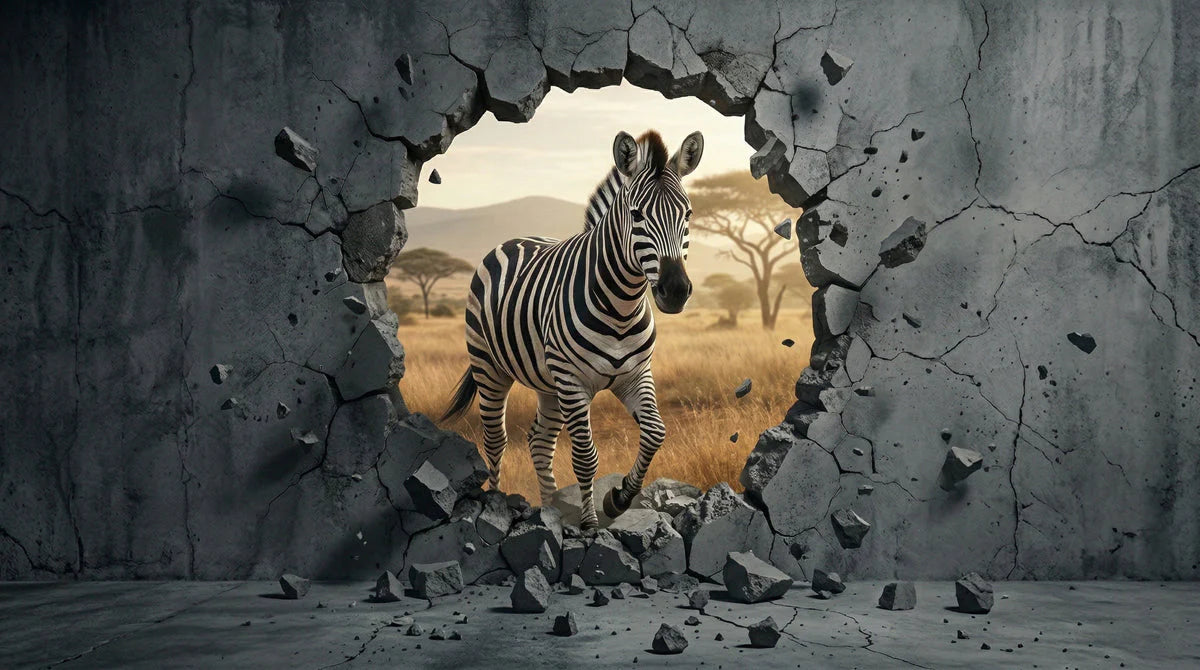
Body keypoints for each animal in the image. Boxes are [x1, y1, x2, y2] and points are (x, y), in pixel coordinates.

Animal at [441, 129, 704, 530]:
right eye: (636, 215)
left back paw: (551, 508)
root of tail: (516, 238)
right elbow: (584, 455)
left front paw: (618, 498)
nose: (675, 290)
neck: (621, 306)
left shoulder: (635, 374)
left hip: (549, 385)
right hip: (491, 367)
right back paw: (497, 504)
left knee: (539, 441)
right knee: (496, 440)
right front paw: (591, 524)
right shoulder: (573, 381)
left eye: (687, 214)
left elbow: (655, 432)